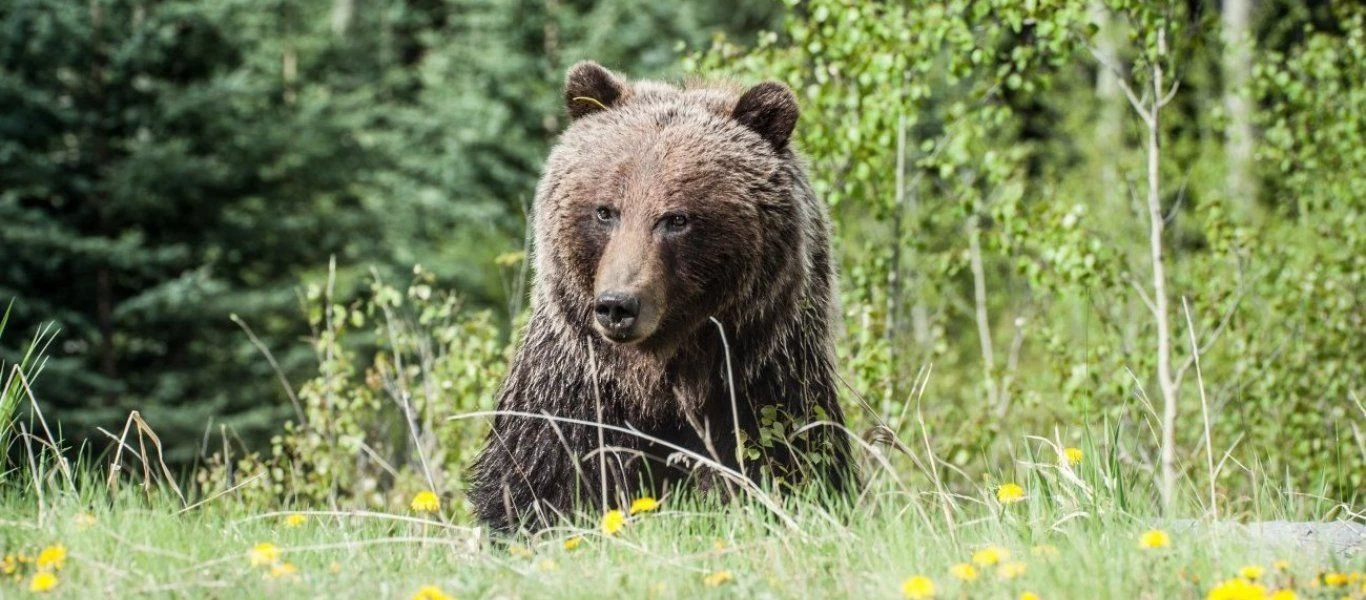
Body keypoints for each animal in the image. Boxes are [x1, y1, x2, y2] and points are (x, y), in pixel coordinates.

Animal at [469, 61, 852, 530]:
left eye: (676, 219)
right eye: (605, 211)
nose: (617, 305)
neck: (658, 377)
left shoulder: (760, 384)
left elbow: (782, 464)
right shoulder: (574, 392)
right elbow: (539, 481)